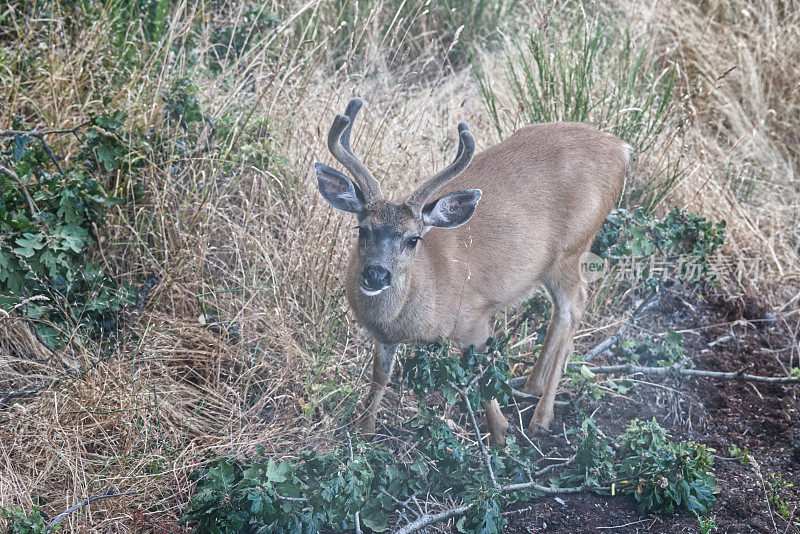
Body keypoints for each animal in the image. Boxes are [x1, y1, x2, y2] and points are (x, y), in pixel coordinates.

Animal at [314, 98, 632, 446]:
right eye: (362, 229)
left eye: (413, 239)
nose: (376, 275)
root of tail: (621, 149)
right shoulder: (384, 338)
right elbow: (379, 377)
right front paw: (365, 432)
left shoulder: (474, 318)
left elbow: (480, 377)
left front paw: (500, 434)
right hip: (550, 265)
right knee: (559, 313)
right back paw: (530, 386)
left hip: (573, 248)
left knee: (574, 309)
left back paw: (541, 417)